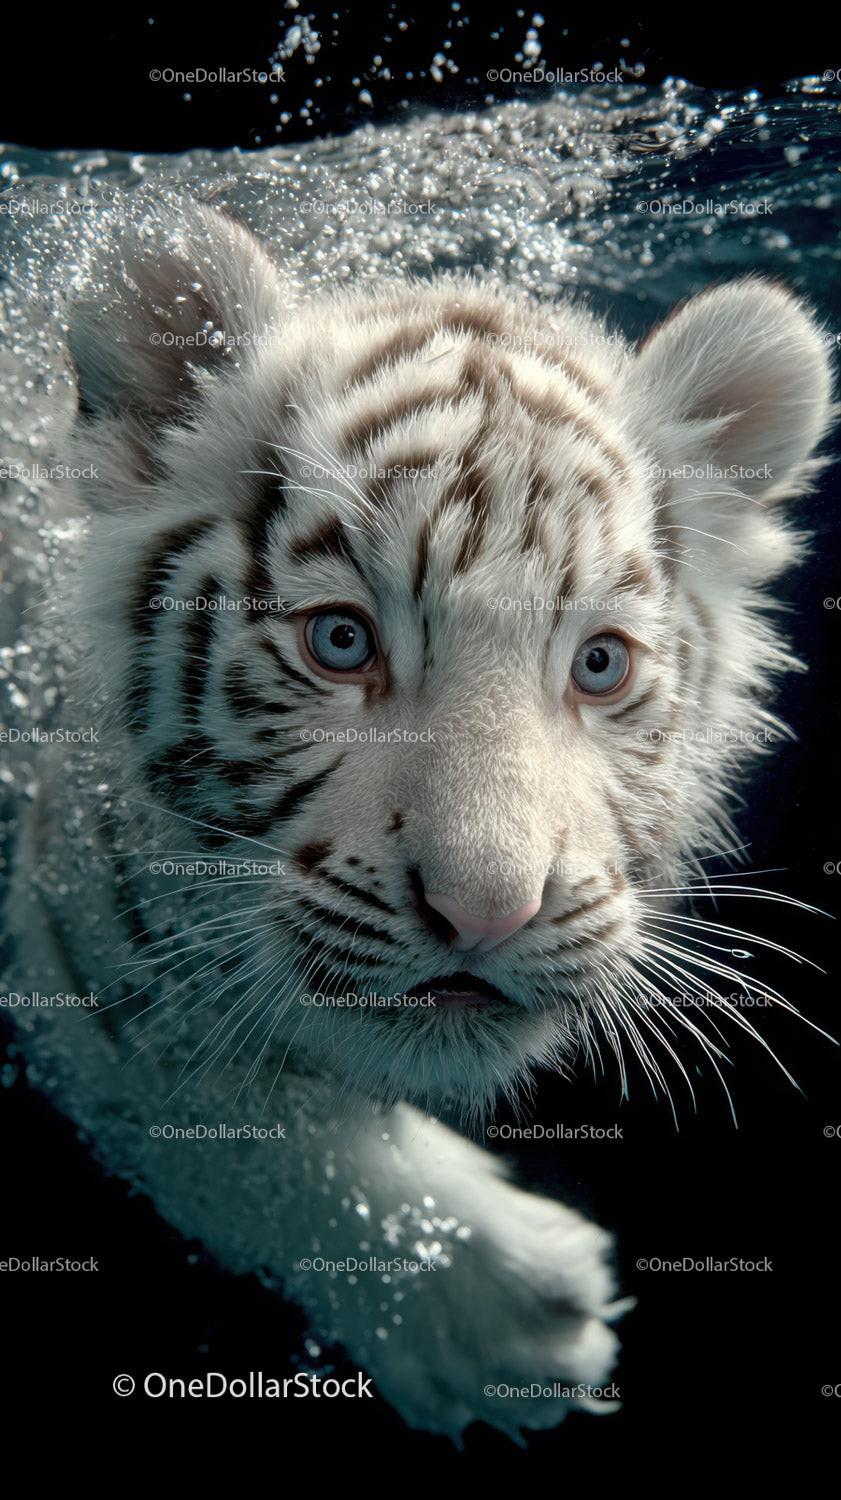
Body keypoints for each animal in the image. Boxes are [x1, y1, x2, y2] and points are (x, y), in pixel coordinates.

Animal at [3, 200, 833, 1439]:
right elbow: (224, 1130)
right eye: (339, 642)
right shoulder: (67, 931)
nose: (488, 912)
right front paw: (500, 1317)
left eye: (598, 664)